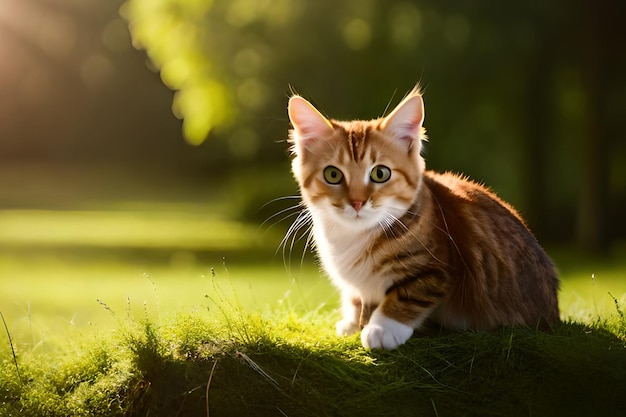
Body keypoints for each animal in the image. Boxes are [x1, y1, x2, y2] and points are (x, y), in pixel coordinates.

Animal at [286, 87, 560, 348]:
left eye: (380, 173)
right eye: (332, 174)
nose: (357, 202)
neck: (353, 237)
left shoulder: (441, 269)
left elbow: (409, 292)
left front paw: (382, 327)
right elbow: (357, 297)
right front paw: (353, 322)